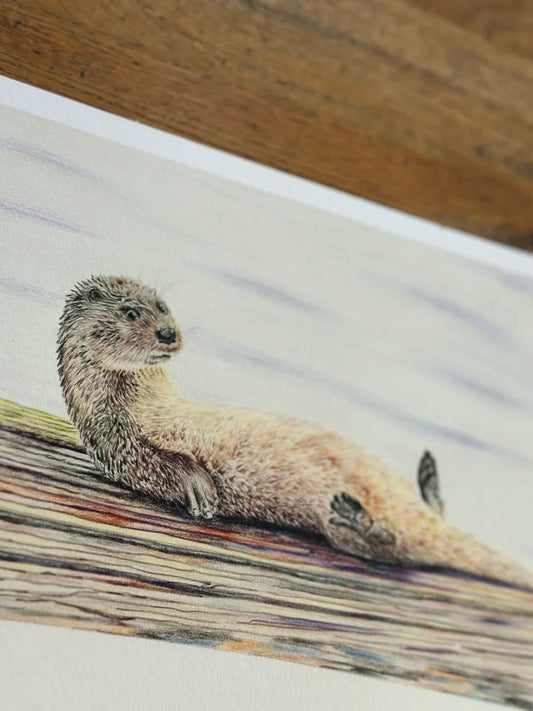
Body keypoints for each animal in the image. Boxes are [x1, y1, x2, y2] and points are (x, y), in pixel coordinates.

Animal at [57, 275, 533, 588]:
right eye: (130, 312)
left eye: (163, 307)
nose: (168, 333)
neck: (143, 400)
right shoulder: (114, 440)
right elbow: (158, 464)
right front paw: (200, 488)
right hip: (355, 532)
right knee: (387, 546)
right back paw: (355, 515)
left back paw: (423, 478)